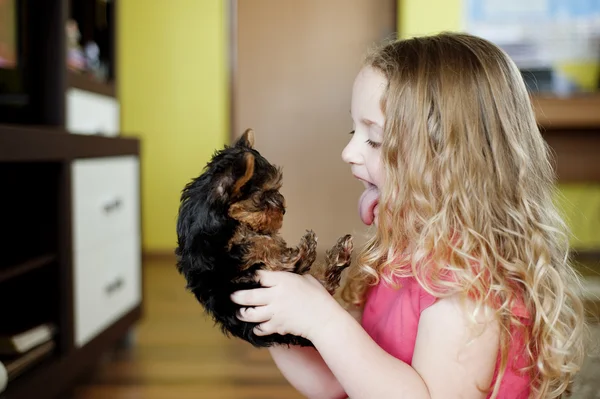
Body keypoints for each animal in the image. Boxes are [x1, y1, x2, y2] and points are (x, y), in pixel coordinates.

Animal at [175, 130, 352, 348]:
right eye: (264, 194)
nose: (283, 210)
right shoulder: (218, 258)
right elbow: (254, 244)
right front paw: (280, 252)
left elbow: (261, 238)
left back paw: (333, 253)